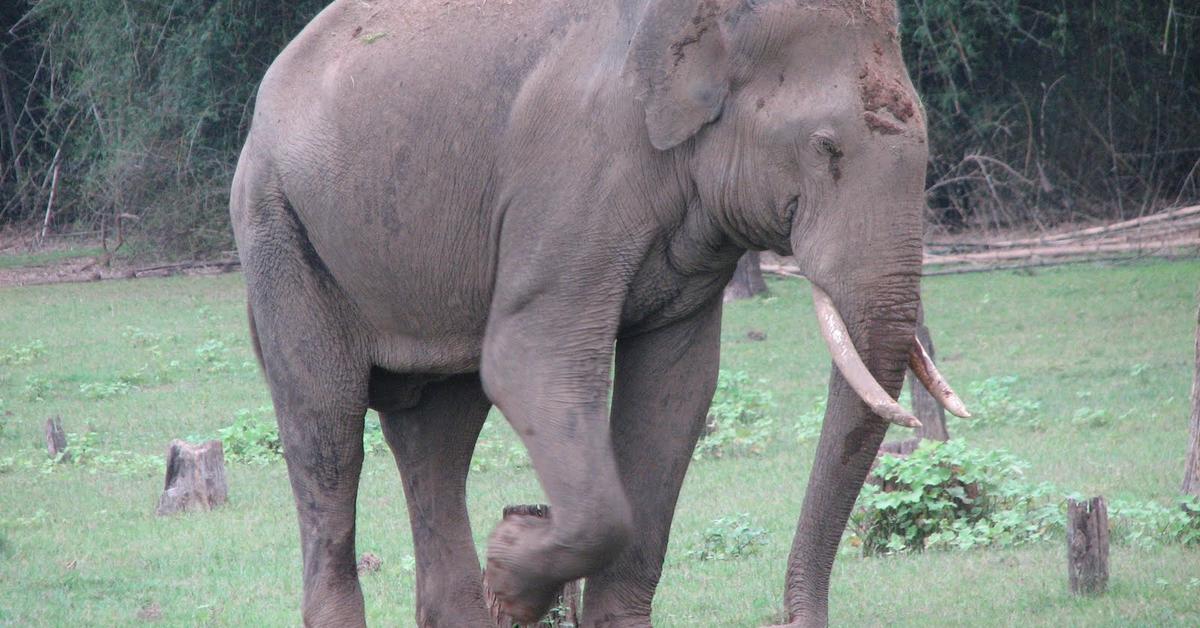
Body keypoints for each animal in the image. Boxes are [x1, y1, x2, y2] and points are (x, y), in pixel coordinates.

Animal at [229, 0, 969, 624]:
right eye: (825, 147)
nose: (790, 616)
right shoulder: (572, 176)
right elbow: (530, 364)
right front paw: (511, 559)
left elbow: (677, 392)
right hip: (278, 229)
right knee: (325, 427)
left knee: (436, 433)